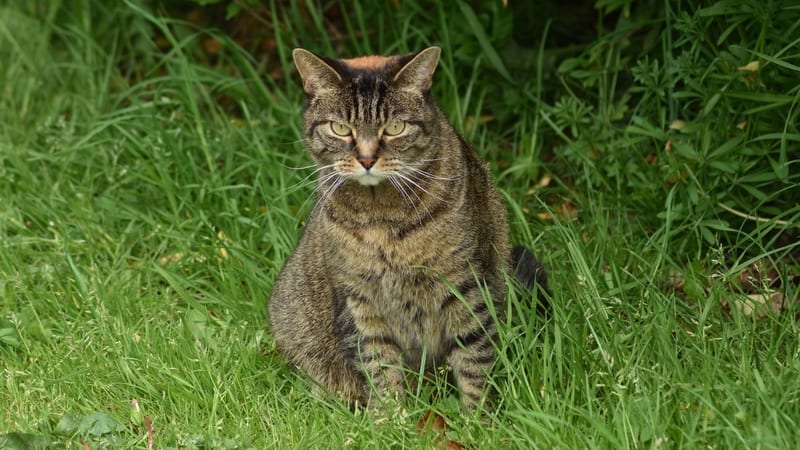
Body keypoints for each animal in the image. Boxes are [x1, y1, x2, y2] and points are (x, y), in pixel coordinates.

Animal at [266, 46, 548, 412]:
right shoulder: (358, 299)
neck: (381, 218)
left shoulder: (465, 285)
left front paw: (477, 417)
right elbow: (379, 365)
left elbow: (474, 359)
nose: (367, 159)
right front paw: (389, 418)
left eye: (395, 127)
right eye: (341, 128)